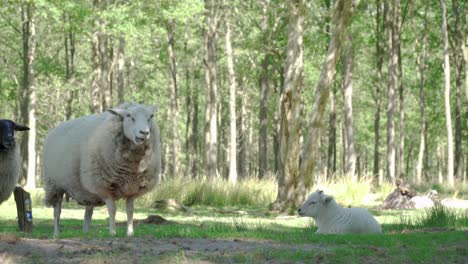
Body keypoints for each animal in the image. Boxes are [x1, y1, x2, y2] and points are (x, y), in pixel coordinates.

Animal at [42, 102, 163, 236]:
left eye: (151, 116)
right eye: (129, 116)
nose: (144, 132)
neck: (132, 167)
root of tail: (54, 129)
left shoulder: (133, 188)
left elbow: (130, 210)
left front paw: (130, 232)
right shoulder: (104, 186)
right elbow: (112, 210)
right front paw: (113, 232)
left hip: (85, 189)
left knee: (88, 212)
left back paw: (86, 232)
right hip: (55, 184)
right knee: (57, 211)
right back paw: (56, 233)